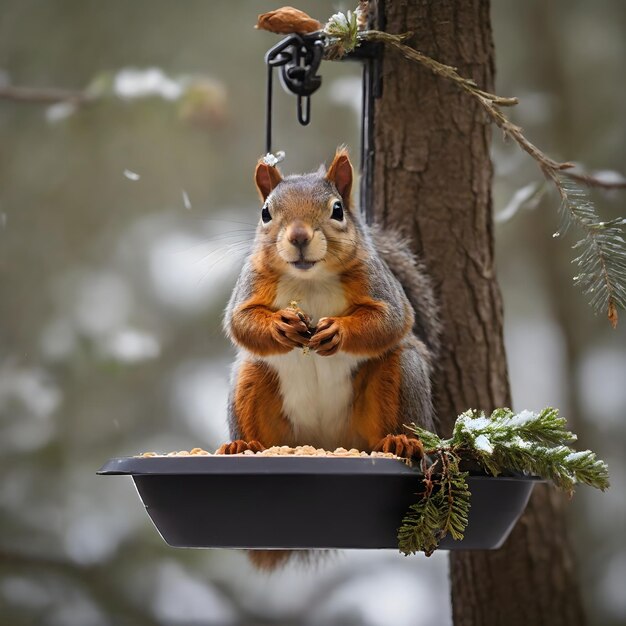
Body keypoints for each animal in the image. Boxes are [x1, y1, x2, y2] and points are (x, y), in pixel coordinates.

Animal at [219, 149, 438, 568]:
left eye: (337, 209)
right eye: (266, 213)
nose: (299, 236)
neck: (309, 280)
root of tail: (325, 442)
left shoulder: (380, 286)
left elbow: (391, 320)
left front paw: (338, 330)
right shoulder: (251, 283)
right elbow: (241, 322)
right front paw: (279, 326)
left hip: (399, 379)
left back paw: (400, 443)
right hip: (251, 380)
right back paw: (243, 446)